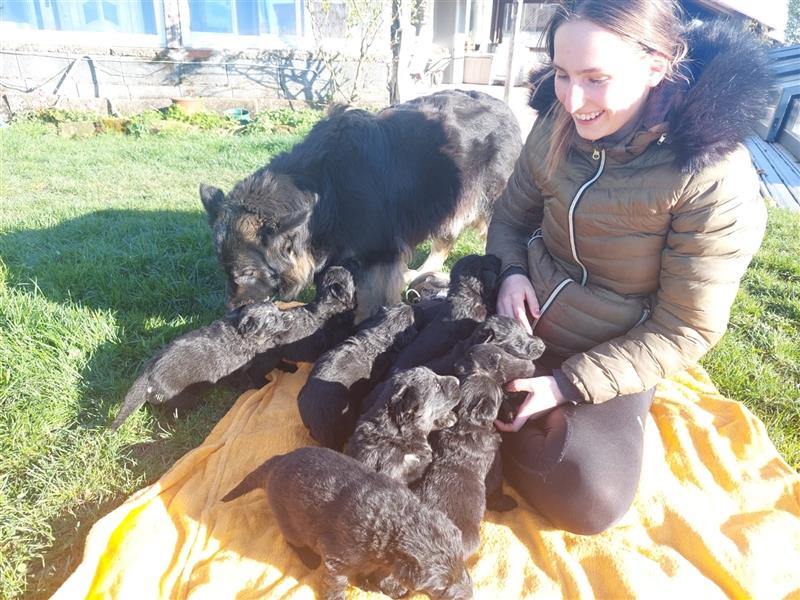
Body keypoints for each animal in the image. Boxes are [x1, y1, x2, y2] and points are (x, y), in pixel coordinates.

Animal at [202, 88, 520, 318]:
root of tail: (506, 108)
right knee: (445, 238)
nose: (230, 313)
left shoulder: (380, 257)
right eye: (224, 269)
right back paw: (421, 273)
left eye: (247, 273)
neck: (325, 189)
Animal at [222, 448, 472, 596]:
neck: (394, 520)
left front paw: (385, 585)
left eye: (463, 563)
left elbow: (382, 571)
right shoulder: (336, 556)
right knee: (292, 540)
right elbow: (337, 582)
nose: (470, 595)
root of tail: (277, 461)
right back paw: (309, 558)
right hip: (289, 520)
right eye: (441, 587)